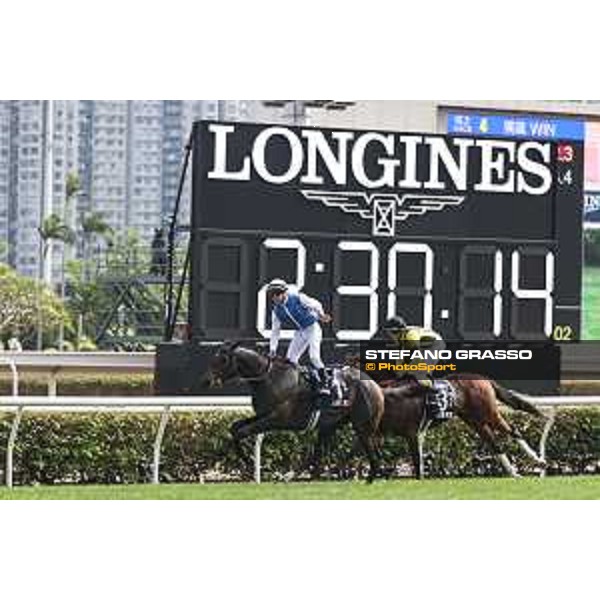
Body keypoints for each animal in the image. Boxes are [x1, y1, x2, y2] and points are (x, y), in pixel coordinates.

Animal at [202, 342, 384, 482]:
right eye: (214, 358)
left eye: (223, 359)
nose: (206, 380)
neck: (269, 378)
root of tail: (372, 383)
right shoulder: (262, 415)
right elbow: (235, 428)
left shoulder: (276, 419)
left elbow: (243, 431)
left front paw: (253, 463)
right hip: (330, 426)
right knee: (321, 452)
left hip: (362, 424)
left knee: (369, 450)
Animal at [380, 376, 548, 478]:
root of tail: (484, 379)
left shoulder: (413, 433)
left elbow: (416, 460)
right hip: (475, 422)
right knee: (494, 444)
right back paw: (514, 472)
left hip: (488, 413)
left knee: (513, 431)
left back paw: (538, 461)